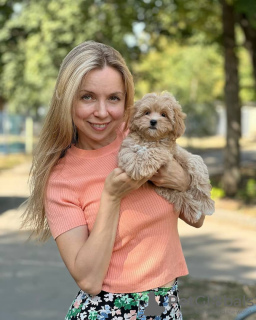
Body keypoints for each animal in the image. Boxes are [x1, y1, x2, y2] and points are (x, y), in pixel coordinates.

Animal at [117, 91, 214, 224]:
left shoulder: (172, 152)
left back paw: (202, 205)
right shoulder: (126, 149)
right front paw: (139, 166)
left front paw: (205, 201)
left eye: (164, 114)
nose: (153, 121)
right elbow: (133, 156)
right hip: (161, 188)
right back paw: (193, 210)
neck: (151, 139)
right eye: (147, 112)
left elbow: (194, 165)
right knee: (179, 196)